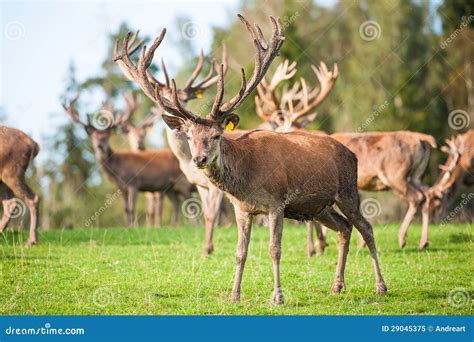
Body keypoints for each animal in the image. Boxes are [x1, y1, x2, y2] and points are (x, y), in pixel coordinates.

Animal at [63, 96, 193, 227]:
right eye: (94, 136)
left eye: (106, 136)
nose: (99, 145)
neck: (117, 169)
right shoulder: (121, 187)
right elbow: (125, 208)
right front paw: (126, 226)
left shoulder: (134, 183)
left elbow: (131, 208)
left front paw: (133, 227)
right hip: (170, 189)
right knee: (177, 204)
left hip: (183, 183)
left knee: (191, 203)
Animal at [112, 28, 236, 254]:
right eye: (164, 98)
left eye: (186, 99)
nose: (177, 114)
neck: (186, 160)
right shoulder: (199, 185)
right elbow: (206, 214)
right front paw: (208, 247)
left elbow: (211, 214)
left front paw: (209, 248)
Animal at [256, 60, 436, 250]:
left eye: (280, 126)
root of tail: (424, 141)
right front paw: (329, 244)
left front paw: (317, 247)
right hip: (416, 176)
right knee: (427, 194)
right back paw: (423, 241)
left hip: (396, 175)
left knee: (416, 197)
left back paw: (402, 238)